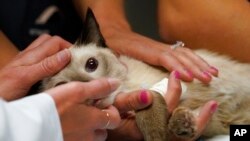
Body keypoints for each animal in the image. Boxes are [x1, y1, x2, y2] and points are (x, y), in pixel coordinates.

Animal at [41, 8, 250, 141]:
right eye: (63, 87)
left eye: (91, 64)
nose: (91, 92)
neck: (126, 89)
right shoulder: (210, 119)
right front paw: (180, 126)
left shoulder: (169, 81)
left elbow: (151, 98)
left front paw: (163, 131)